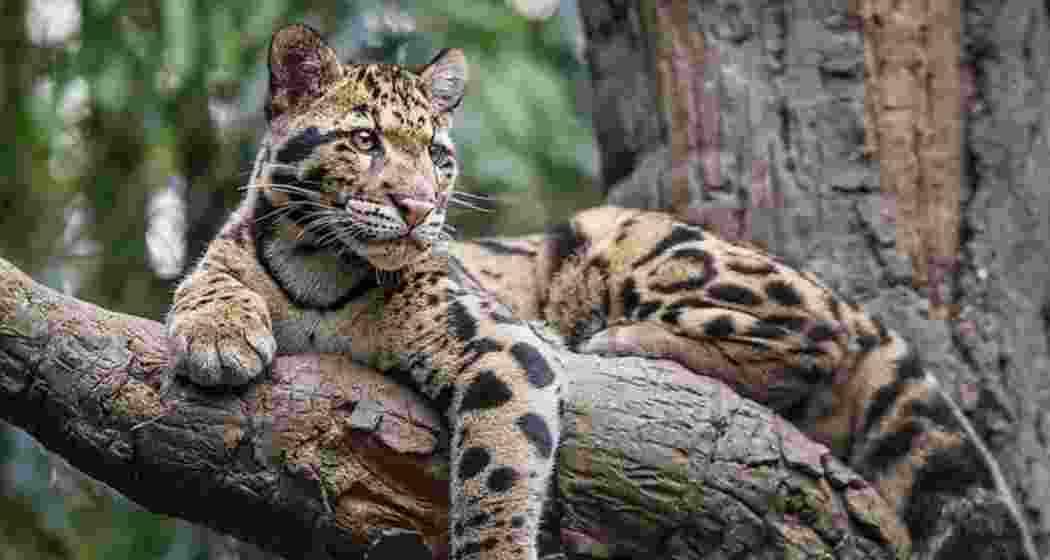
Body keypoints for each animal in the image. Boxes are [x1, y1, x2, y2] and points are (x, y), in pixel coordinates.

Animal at [169, 23, 1036, 560]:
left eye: (440, 156)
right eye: (363, 139)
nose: (420, 206)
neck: (323, 261)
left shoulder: (499, 342)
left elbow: (497, 469)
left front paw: (495, 547)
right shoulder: (234, 253)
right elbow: (206, 281)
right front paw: (217, 334)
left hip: (630, 241)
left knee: (815, 341)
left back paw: (620, 340)